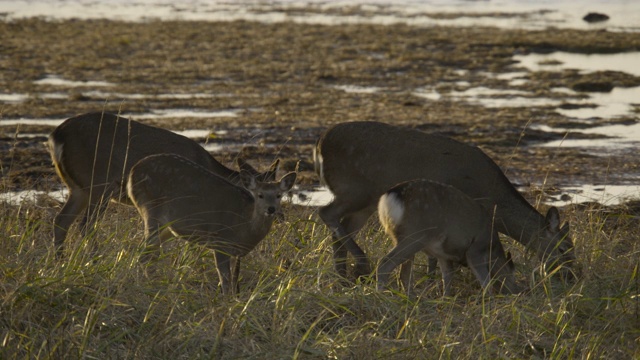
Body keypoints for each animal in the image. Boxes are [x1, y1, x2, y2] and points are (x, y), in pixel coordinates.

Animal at [47, 111, 278, 252]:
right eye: (255, 193)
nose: (272, 212)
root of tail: (57, 135)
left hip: (79, 188)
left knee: (61, 221)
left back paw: (60, 261)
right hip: (99, 183)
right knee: (86, 225)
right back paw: (93, 259)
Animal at [127, 153, 298, 294]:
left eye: (279, 195)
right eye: (260, 195)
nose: (271, 209)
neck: (244, 227)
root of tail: (132, 174)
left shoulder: (236, 253)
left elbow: (234, 279)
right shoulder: (220, 241)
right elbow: (225, 280)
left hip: (168, 227)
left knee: (148, 252)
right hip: (151, 209)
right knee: (144, 252)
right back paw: (145, 285)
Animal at [314, 122, 576, 282]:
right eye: (564, 247)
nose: (571, 275)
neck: (492, 198)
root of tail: (320, 145)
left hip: (364, 201)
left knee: (341, 227)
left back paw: (343, 275)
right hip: (355, 188)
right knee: (326, 212)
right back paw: (361, 263)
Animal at [378, 179, 524, 296]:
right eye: (512, 277)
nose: (516, 292)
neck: (492, 247)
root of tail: (390, 197)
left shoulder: (443, 255)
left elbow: (448, 277)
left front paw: (445, 298)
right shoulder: (475, 250)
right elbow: (485, 280)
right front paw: (488, 300)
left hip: (400, 236)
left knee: (404, 273)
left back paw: (410, 297)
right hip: (414, 234)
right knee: (385, 263)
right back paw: (381, 294)